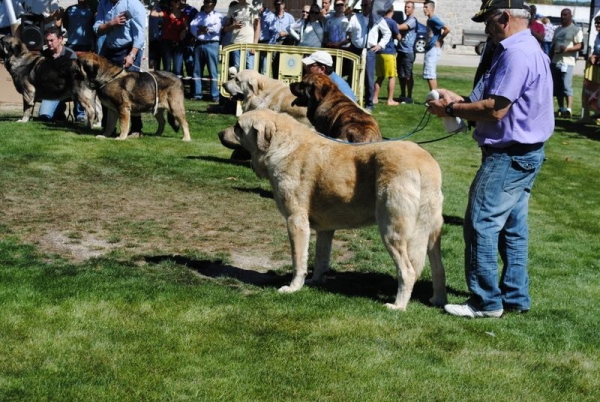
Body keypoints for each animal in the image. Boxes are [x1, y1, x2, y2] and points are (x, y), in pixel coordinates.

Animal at [218, 110, 448, 310]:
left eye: (238, 126)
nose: (219, 133)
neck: (282, 146)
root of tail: (425, 162)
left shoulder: (296, 221)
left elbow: (298, 260)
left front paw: (293, 287)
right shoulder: (325, 229)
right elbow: (320, 258)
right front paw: (315, 281)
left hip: (392, 231)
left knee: (408, 272)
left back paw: (398, 306)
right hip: (430, 234)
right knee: (439, 269)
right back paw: (438, 300)